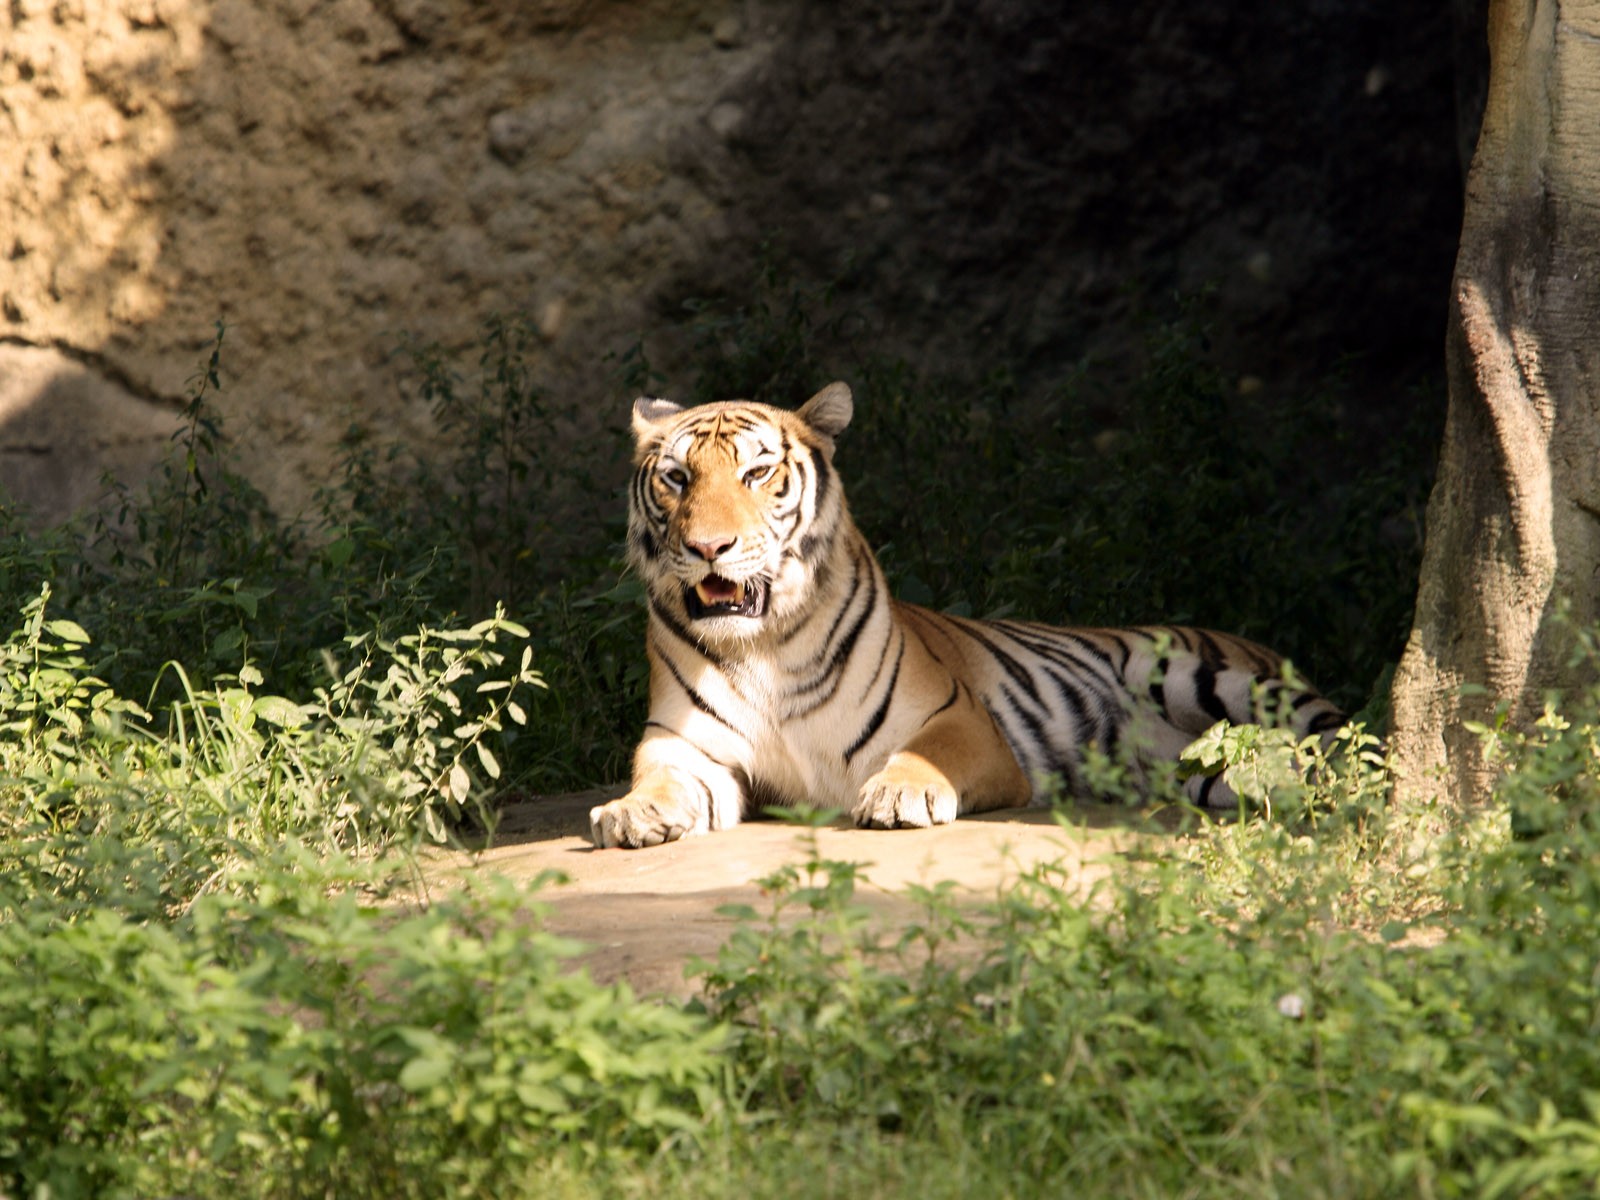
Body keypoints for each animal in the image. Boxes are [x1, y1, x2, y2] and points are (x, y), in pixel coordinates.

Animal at [582, 385, 1344, 857]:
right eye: (677, 478)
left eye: (757, 474)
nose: (709, 546)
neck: (763, 645)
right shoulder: (686, 744)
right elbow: (659, 776)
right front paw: (632, 812)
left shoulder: (959, 716)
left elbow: (929, 753)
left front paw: (900, 793)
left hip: (1195, 672)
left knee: (1339, 747)